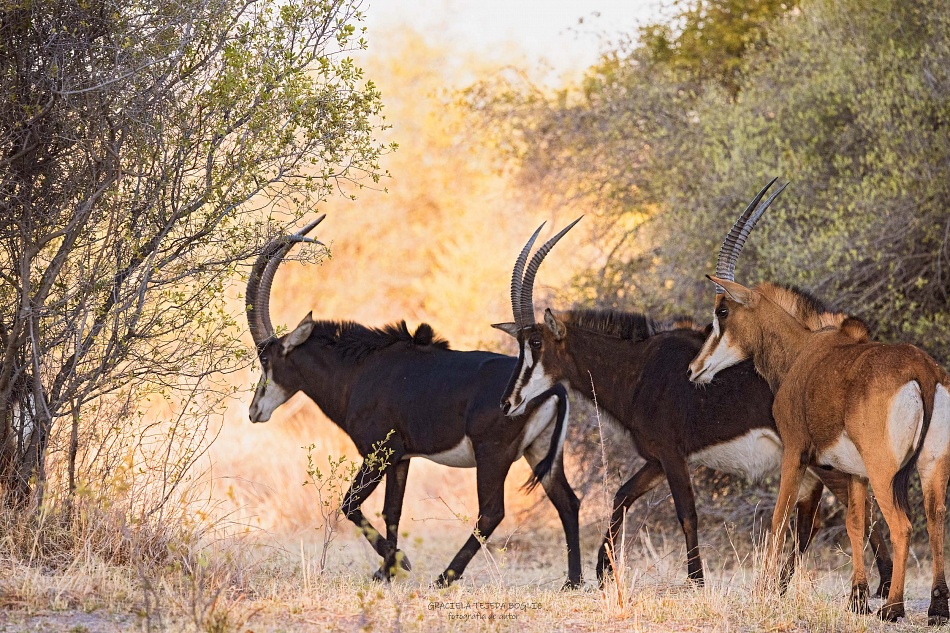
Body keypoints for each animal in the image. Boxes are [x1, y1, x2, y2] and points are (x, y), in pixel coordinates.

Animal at [246, 216, 581, 588]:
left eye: (266, 359)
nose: (254, 411)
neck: (358, 369)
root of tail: (553, 387)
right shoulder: (401, 458)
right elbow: (392, 511)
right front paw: (385, 571)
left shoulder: (379, 452)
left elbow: (350, 505)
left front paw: (399, 562)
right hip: (540, 451)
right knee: (568, 502)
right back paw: (574, 580)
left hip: (493, 455)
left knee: (492, 512)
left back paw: (446, 577)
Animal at [495, 212, 892, 593]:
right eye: (520, 343)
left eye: (536, 344)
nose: (507, 402)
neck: (639, 369)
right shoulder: (657, 459)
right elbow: (622, 496)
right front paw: (604, 572)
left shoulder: (672, 456)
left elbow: (686, 513)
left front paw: (697, 579)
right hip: (807, 463)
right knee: (813, 515)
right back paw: (787, 585)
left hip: (823, 459)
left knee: (861, 507)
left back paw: (884, 584)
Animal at [688, 180, 950, 623]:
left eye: (722, 310)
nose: (694, 369)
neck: (801, 352)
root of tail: (925, 372)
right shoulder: (854, 472)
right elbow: (856, 523)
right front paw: (857, 598)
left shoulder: (795, 451)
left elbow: (778, 520)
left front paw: (763, 593)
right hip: (930, 465)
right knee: (935, 520)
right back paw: (937, 607)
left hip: (884, 468)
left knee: (902, 524)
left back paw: (893, 608)